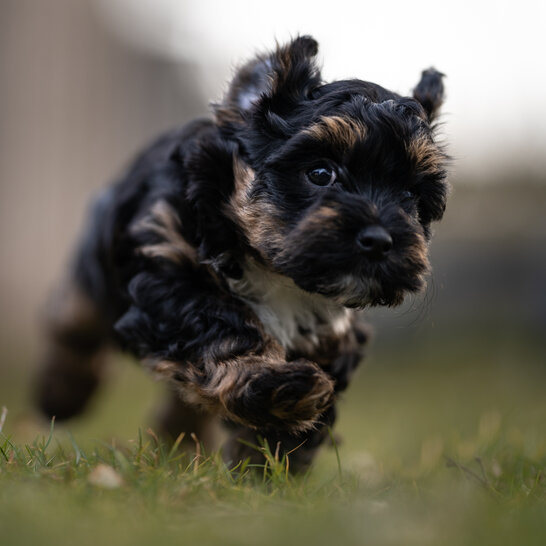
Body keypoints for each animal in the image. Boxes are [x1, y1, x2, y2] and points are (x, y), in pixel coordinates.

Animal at [35, 36, 446, 470]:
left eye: (411, 195)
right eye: (320, 173)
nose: (380, 240)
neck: (272, 270)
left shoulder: (331, 332)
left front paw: (271, 462)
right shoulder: (167, 269)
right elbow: (221, 328)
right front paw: (276, 386)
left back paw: (181, 442)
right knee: (73, 321)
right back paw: (63, 393)